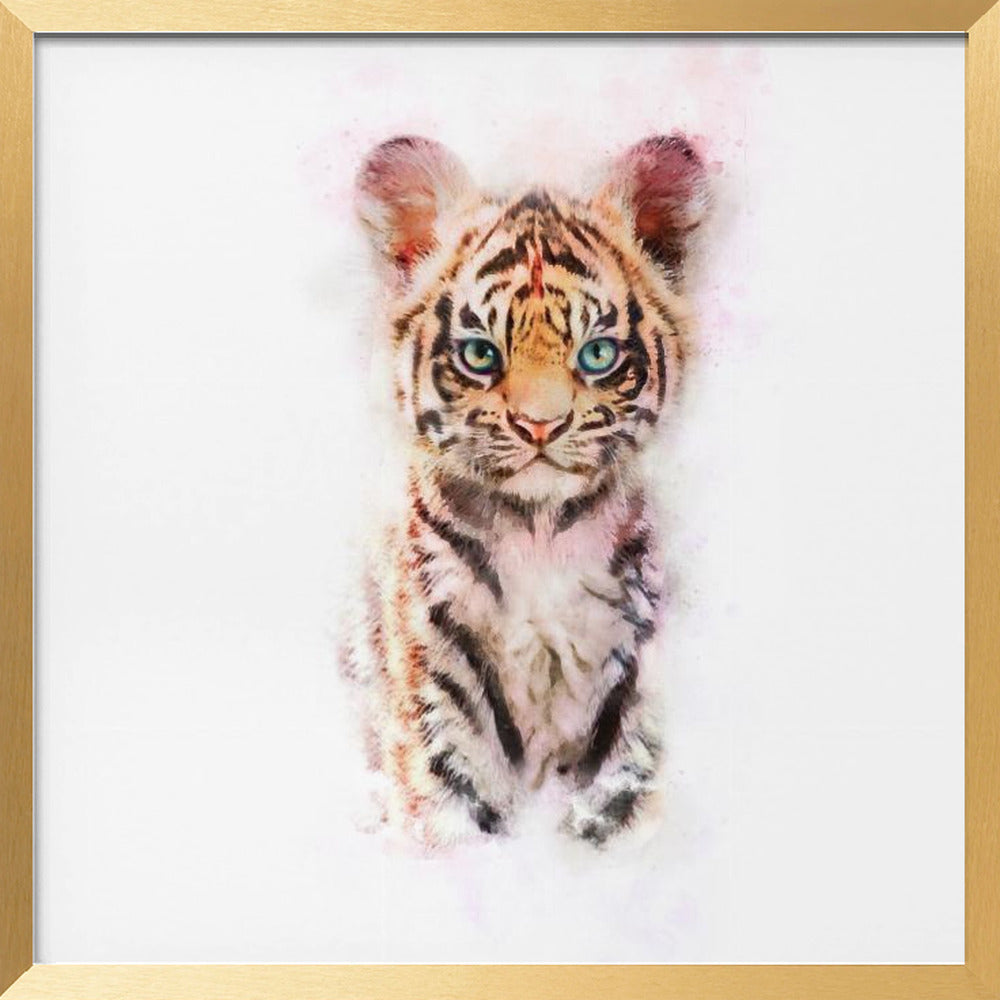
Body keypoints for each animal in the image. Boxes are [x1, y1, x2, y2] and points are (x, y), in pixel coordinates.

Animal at [342, 133, 709, 848]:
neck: (540, 537)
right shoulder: (438, 684)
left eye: (597, 354)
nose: (541, 424)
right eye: (481, 355)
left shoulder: (637, 681)